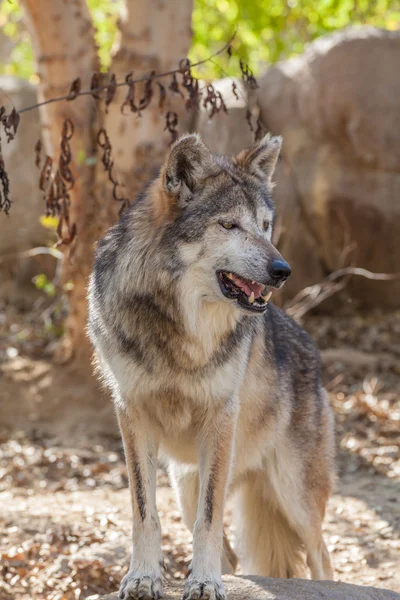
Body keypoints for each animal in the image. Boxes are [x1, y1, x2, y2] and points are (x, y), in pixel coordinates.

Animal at [87, 134, 334, 600]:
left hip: (295, 494)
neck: (182, 329)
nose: (282, 270)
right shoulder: (132, 414)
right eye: (229, 226)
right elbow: (144, 512)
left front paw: (203, 582)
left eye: (265, 225)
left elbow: (210, 518)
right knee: (234, 557)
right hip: (186, 483)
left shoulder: (220, 418)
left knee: (322, 559)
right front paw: (142, 577)